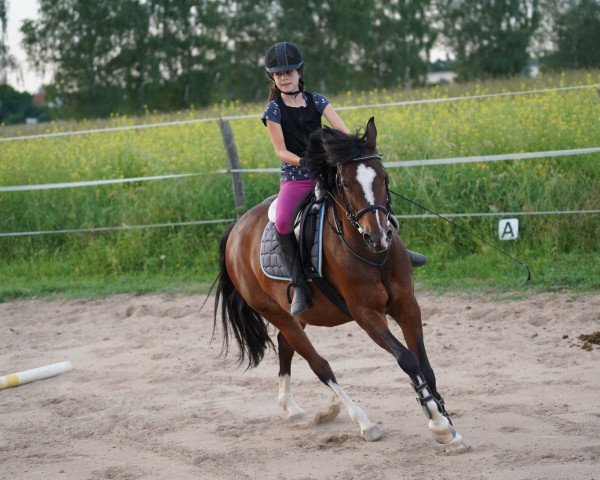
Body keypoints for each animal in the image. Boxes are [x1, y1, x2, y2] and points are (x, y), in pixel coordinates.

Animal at [216, 116, 468, 450]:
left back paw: (293, 408)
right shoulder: (366, 315)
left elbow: (425, 365)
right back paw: (364, 423)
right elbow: (408, 360)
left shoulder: (407, 306)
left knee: (285, 346)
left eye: (383, 177)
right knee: (319, 365)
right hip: (275, 312)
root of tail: (236, 229)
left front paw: (448, 424)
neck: (374, 257)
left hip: (295, 316)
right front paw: (438, 425)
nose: (379, 236)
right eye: (345, 184)